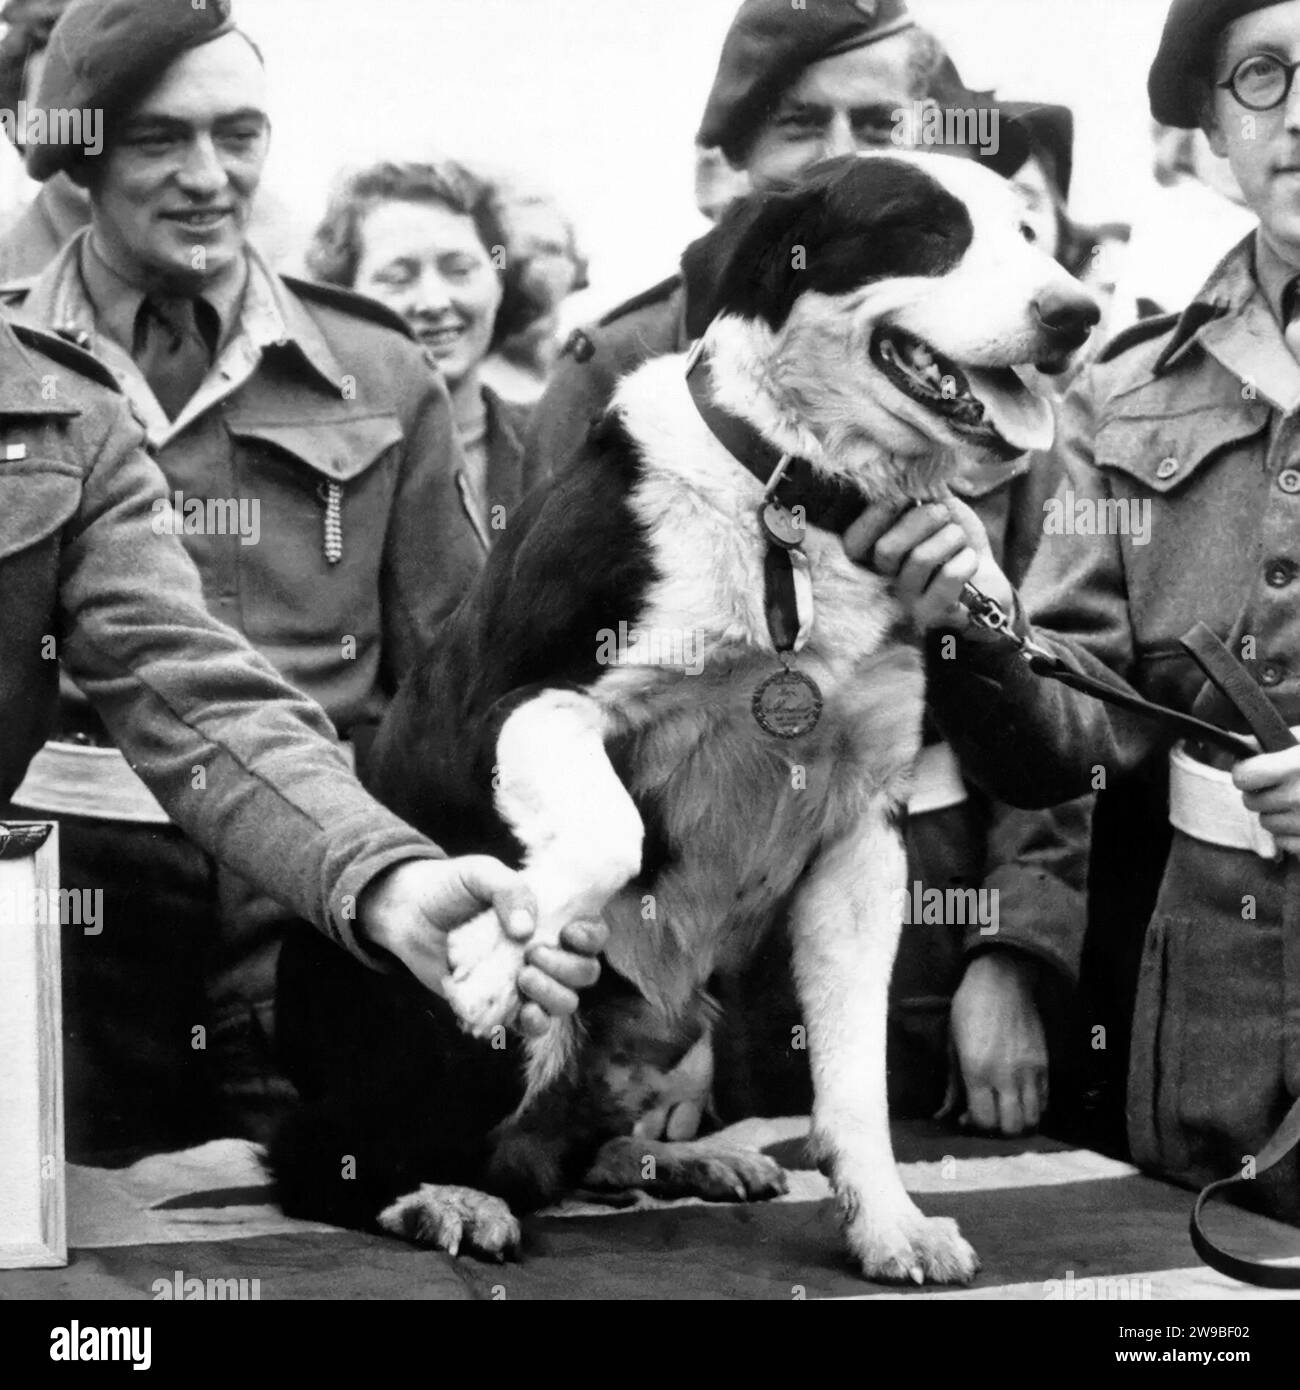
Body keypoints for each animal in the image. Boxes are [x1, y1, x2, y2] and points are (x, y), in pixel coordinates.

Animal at [272, 152, 1095, 1278]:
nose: (1079, 314)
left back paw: (681, 1160)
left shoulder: (861, 831)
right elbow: (610, 831)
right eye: (927, 232)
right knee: (341, 1162)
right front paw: (488, 961)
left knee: (566, 1153)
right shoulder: (523, 708)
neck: (795, 497)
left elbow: (856, 1082)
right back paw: (445, 1198)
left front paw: (886, 1222)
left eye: (1026, 232)